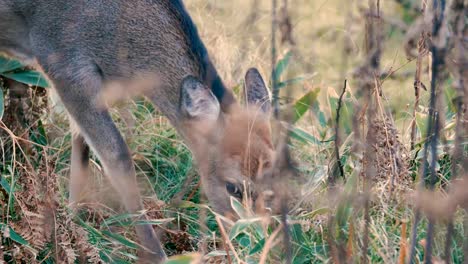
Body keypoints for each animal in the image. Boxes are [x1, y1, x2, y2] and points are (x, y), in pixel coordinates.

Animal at [0, 0, 276, 262]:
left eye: (275, 181)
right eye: (232, 187)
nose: (255, 242)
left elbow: (81, 148)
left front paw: (73, 222)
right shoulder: (60, 60)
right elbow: (117, 155)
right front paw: (156, 255)